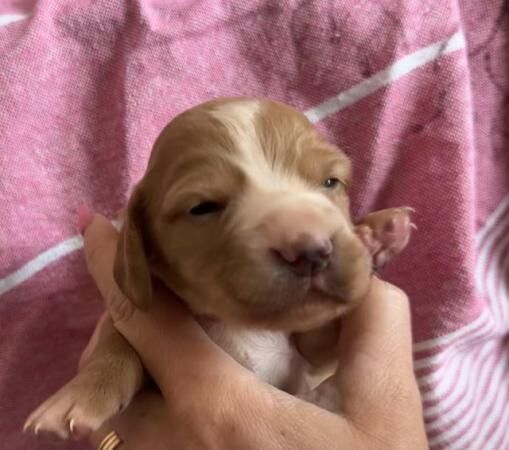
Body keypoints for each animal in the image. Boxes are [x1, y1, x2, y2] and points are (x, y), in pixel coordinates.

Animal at [24, 97, 412, 440]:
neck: (243, 327)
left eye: (331, 182)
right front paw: (82, 393)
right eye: (202, 207)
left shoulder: (312, 359)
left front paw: (377, 233)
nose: (311, 249)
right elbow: (115, 339)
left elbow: (325, 339)